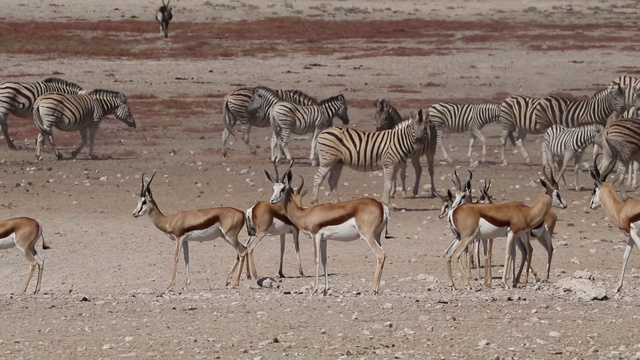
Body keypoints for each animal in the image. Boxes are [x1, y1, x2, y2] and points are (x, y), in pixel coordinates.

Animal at [266, 161, 390, 296]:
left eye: (283, 189)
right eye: (273, 188)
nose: (272, 200)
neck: (305, 214)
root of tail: (381, 206)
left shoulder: (315, 236)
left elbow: (316, 259)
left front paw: (314, 289)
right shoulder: (324, 239)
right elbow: (325, 261)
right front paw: (325, 289)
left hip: (367, 236)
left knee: (380, 254)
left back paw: (371, 290)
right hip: (377, 235)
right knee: (383, 255)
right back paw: (376, 289)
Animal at [592, 155, 640, 292]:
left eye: (594, 190)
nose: (591, 204)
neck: (621, 209)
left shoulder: (634, 233)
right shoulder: (631, 236)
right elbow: (625, 256)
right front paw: (618, 287)